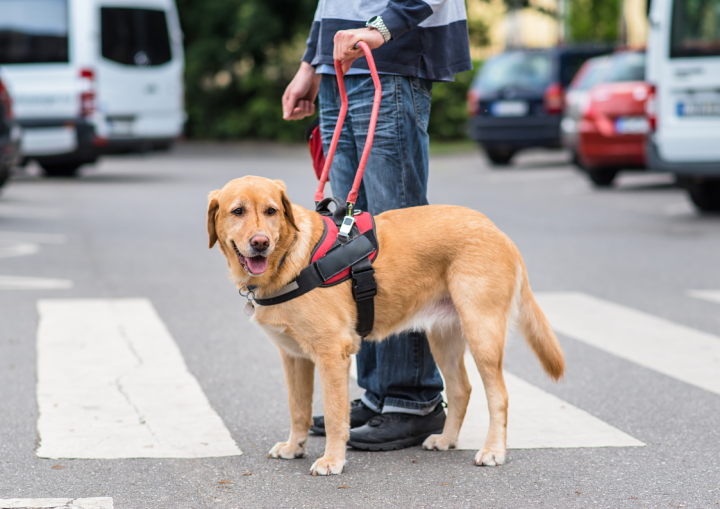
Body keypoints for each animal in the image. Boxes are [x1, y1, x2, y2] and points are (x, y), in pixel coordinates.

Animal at [205, 177, 564, 474]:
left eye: (272, 211)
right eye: (238, 211)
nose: (260, 242)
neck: (289, 260)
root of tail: (497, 230)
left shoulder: (332, 354)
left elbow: (335, 416)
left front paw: (332, 460)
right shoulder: (294, 357)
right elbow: (299, 409)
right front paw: (295, 447)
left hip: (482, 334)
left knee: (498, 396)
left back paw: (493, 451)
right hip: (443, 337)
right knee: (461, 389)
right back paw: (446, 439)